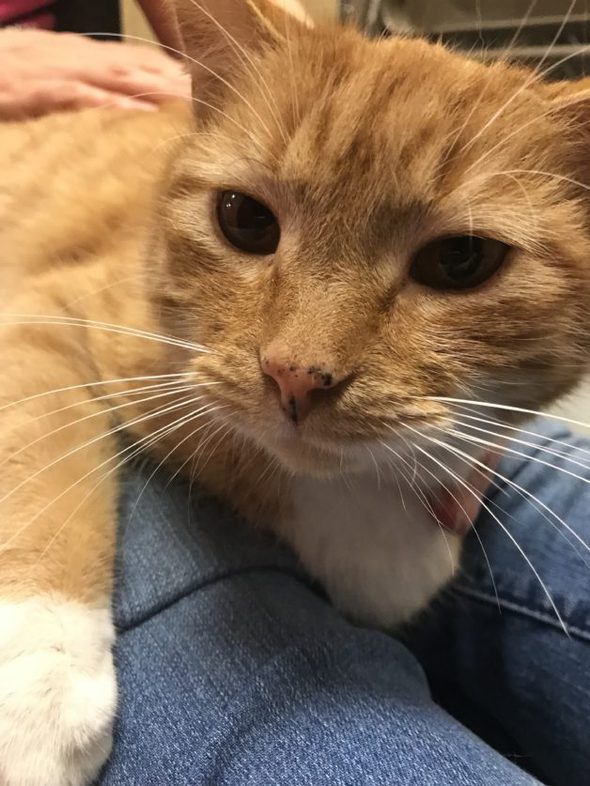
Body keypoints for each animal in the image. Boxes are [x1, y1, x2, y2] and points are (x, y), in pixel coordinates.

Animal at [1, 3, 590, 780]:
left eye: (461, 259)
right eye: (245, 219)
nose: (295, 377)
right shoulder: (45, 317)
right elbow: (44, 466)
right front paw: (36, 696)